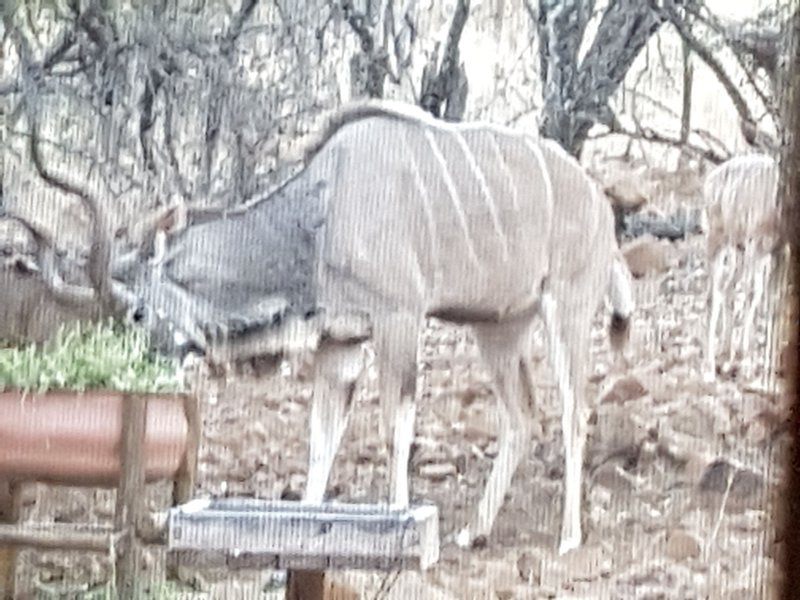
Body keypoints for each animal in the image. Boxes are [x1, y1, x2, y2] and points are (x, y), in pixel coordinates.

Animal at [26, 98, 636, 552]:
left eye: (136, 312)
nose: (143, 370)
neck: (320, 217)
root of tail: (600, 203)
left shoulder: (398, 318)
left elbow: (396, 424)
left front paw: (400, 525)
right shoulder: (340, 343)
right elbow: (321, 441)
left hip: (565, 310)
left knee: (575, 411)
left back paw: (569, 537)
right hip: (498, 327)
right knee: (523, 417)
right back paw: (473, 532)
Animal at [704, 154, 784, 380]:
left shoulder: (781, 250)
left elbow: (775, 300)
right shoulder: (756, 243)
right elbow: (752, 293)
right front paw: (746, 362)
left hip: (738, 248)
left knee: (727, 287)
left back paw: (725, 354)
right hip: (718, 239)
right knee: (714, 294)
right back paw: (711, 366)